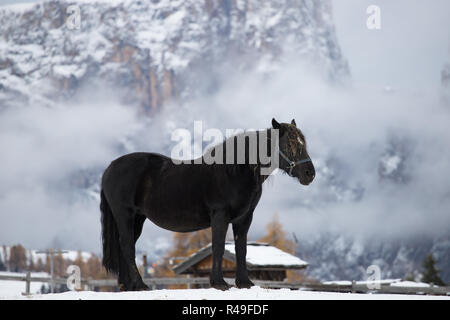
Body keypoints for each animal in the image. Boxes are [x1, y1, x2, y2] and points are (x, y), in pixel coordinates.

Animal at [100, 119, 314, 292]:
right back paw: (140, 285)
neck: (235, 171)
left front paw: (244, 283)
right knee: (127, 245)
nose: (309, 174)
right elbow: (218, 246)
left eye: (303, 143)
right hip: (125, 214)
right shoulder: (220, 214)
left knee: (125, 245)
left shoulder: (244, 218)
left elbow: (241, 248)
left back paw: (127, 286)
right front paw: (219, 283)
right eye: (290, 144)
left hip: (137, 218)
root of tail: (110, 167)